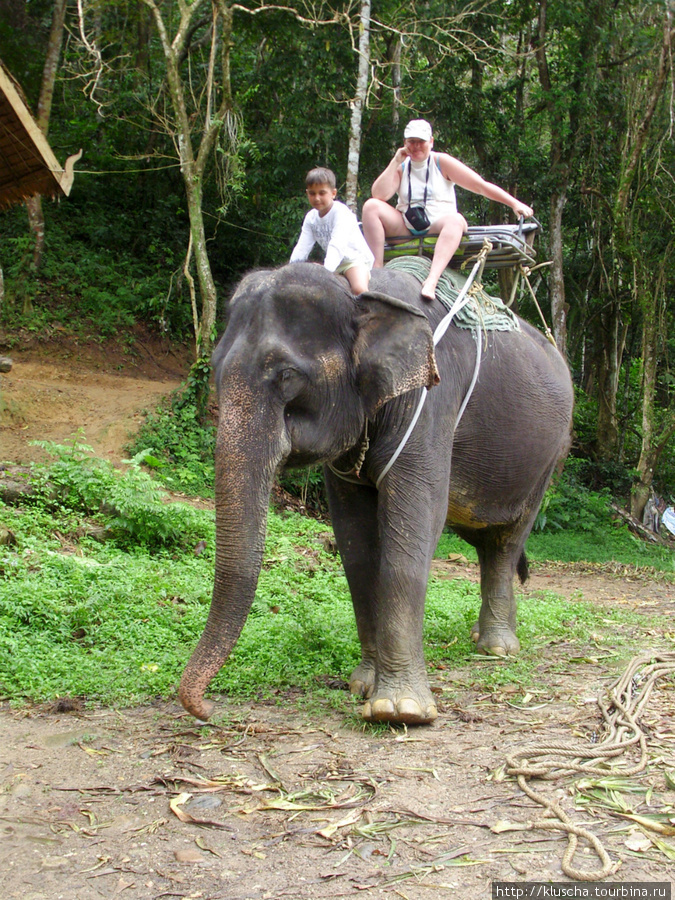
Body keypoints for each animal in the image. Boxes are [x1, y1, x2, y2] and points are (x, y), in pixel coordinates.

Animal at [177, 260, 572, 724]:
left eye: (288, 375)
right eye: (216, 369)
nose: (207, 708)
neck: (361, 296)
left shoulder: (431, 398)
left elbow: (418, 517)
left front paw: (398, 709)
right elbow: (355, 539)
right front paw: (363, 685)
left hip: (548, 458)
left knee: (506, 541)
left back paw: (496, 647)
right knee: (486, 542)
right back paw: (484, 634)